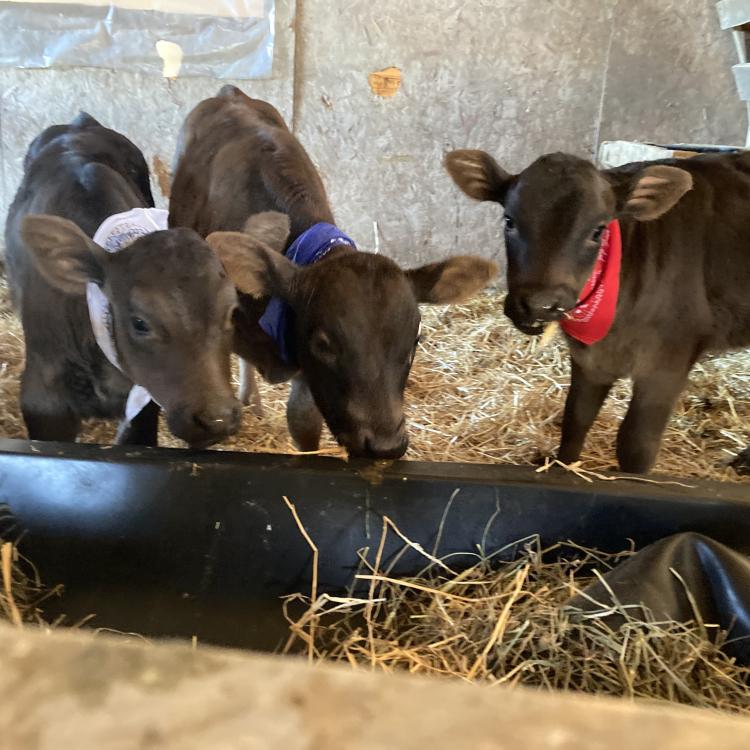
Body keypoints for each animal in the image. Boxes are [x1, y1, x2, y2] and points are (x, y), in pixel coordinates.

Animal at [4, 112, 248, 448]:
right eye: (140, 323)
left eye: (232, 313)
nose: (217, 418)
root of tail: (79, 123)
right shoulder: (43, 401)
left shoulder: (142, 407)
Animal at [169, 85, 498, 459]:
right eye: (323, 344)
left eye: (416, 339)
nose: (386, 446)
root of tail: (230, 93)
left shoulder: (307, 378)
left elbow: (303, 421)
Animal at [445, 147, 750, 475]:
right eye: (509, 220)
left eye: (598, 230)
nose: (540, 305)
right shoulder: (588, 360)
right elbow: (575, 421)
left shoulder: (667, 364)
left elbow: (636, 444)